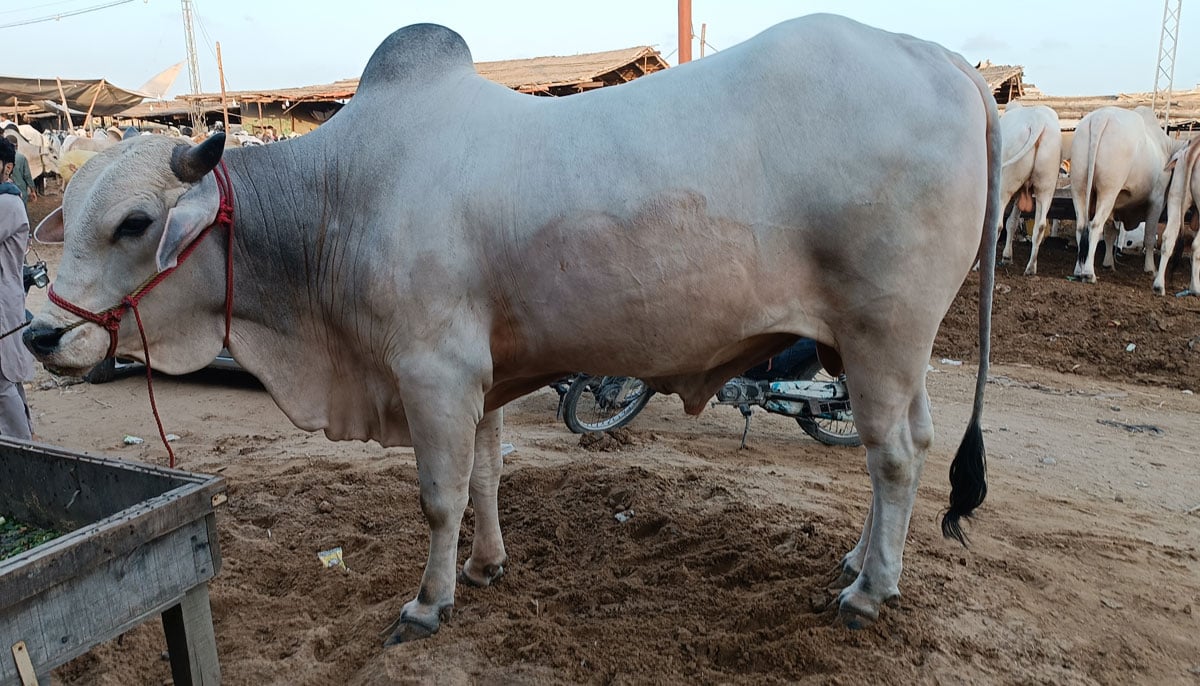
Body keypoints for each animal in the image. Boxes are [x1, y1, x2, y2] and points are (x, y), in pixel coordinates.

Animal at [25, 17, 1003, 647]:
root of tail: (943, 59)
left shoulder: (433, 372)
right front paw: (487, 568)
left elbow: (440, 495)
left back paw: (871, 591)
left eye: (135, 223)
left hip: (882, 334)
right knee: (905, 448)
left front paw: (428, 604)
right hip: (879, 348)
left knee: (893, 456)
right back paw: (858, 560)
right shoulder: (482, 375)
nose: (38, 336)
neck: (337, 200)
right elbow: (488, 476)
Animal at [993, 101, 1060, 273]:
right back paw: (1031, 267)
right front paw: (1007, 256)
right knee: (1040, 226)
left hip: (1004, 187)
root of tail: (1037, 121)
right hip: (1046, 186)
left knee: (997, 225)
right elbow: (1013, 222)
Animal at [1075, 104, 1185, 281]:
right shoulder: (1156, 201)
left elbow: (1110, 234)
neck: (1166, 148)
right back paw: (1088, 272)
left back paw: (1079, 270)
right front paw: (1150, 268)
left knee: (1081, 225)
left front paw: (1108, 263)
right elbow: (1149, 236)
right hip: (1108, 191)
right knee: (1095, 224)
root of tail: (1101, 117)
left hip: (1079, 186)